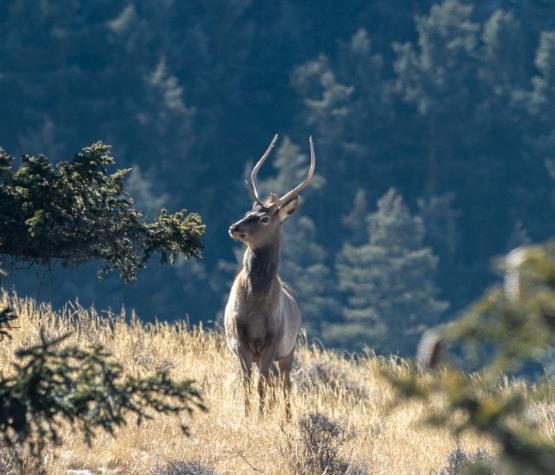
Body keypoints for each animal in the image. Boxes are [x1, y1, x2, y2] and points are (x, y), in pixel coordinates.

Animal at [224, 135, 314, 420]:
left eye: (263, 218)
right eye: (247, 212)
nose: (234, 227)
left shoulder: (273, 341)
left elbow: (262, 383)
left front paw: (261, 416)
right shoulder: (239, 339)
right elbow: (247, 382)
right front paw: (248, 414)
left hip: (290, 350)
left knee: (284, 384)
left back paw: (286, 417)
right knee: (273, 381)